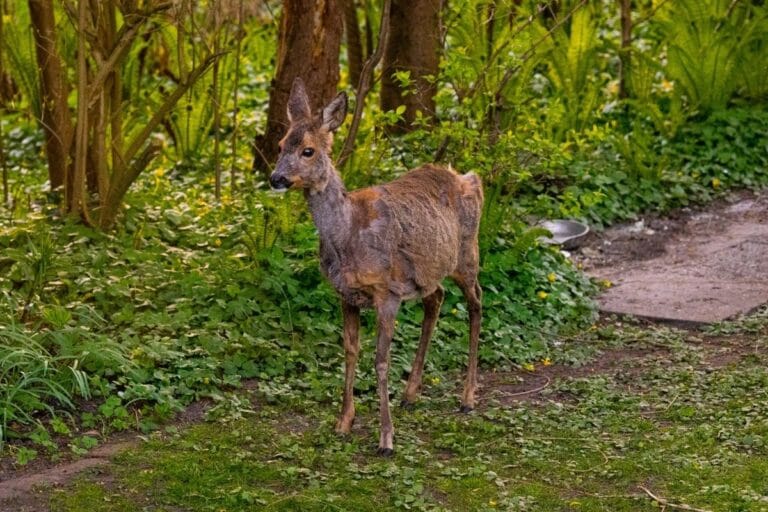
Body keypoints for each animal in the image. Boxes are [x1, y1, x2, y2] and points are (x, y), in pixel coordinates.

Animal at [269, 78, 483, 455]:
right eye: (281, 145)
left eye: (308, 150)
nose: (276, 178)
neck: (348, 236)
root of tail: (470, 178)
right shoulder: (346, 295)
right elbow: (350, 351)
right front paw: (343, 422)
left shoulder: (387, 292)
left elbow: (381, 359)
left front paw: (386, 438)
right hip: (429, 272)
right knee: (437, 298)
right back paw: (411, 394)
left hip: (467, 254)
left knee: (477, 303)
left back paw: (468, 397)